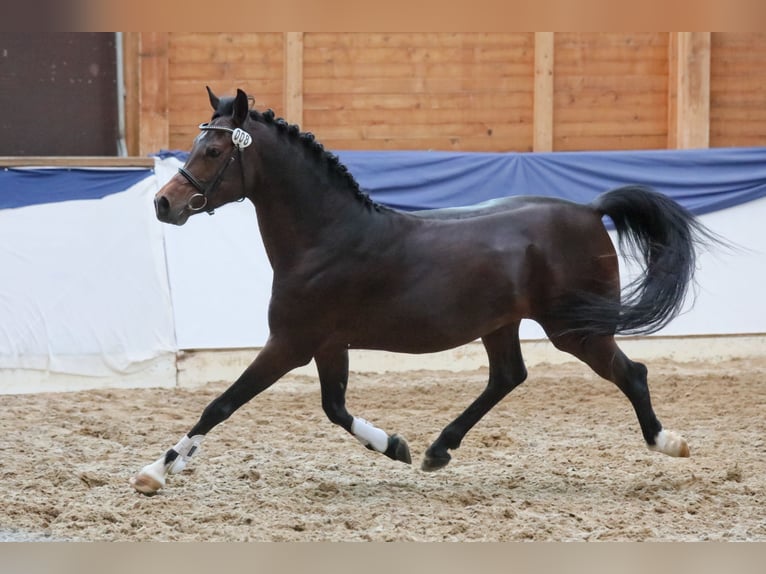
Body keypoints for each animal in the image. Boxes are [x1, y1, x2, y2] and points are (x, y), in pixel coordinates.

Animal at [131, 87, 713, 495]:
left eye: (212, 150)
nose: (163, 203)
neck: (327, 236)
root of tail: (590, 210)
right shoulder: (327, 345)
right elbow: (335, 408)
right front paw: (397, 447)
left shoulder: (290, 344)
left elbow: (222, 404)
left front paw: (155, 472)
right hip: (503, 324)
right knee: (508, 377)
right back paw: (438, 449)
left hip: (575, 329)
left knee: (630, 373)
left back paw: (668, 442)